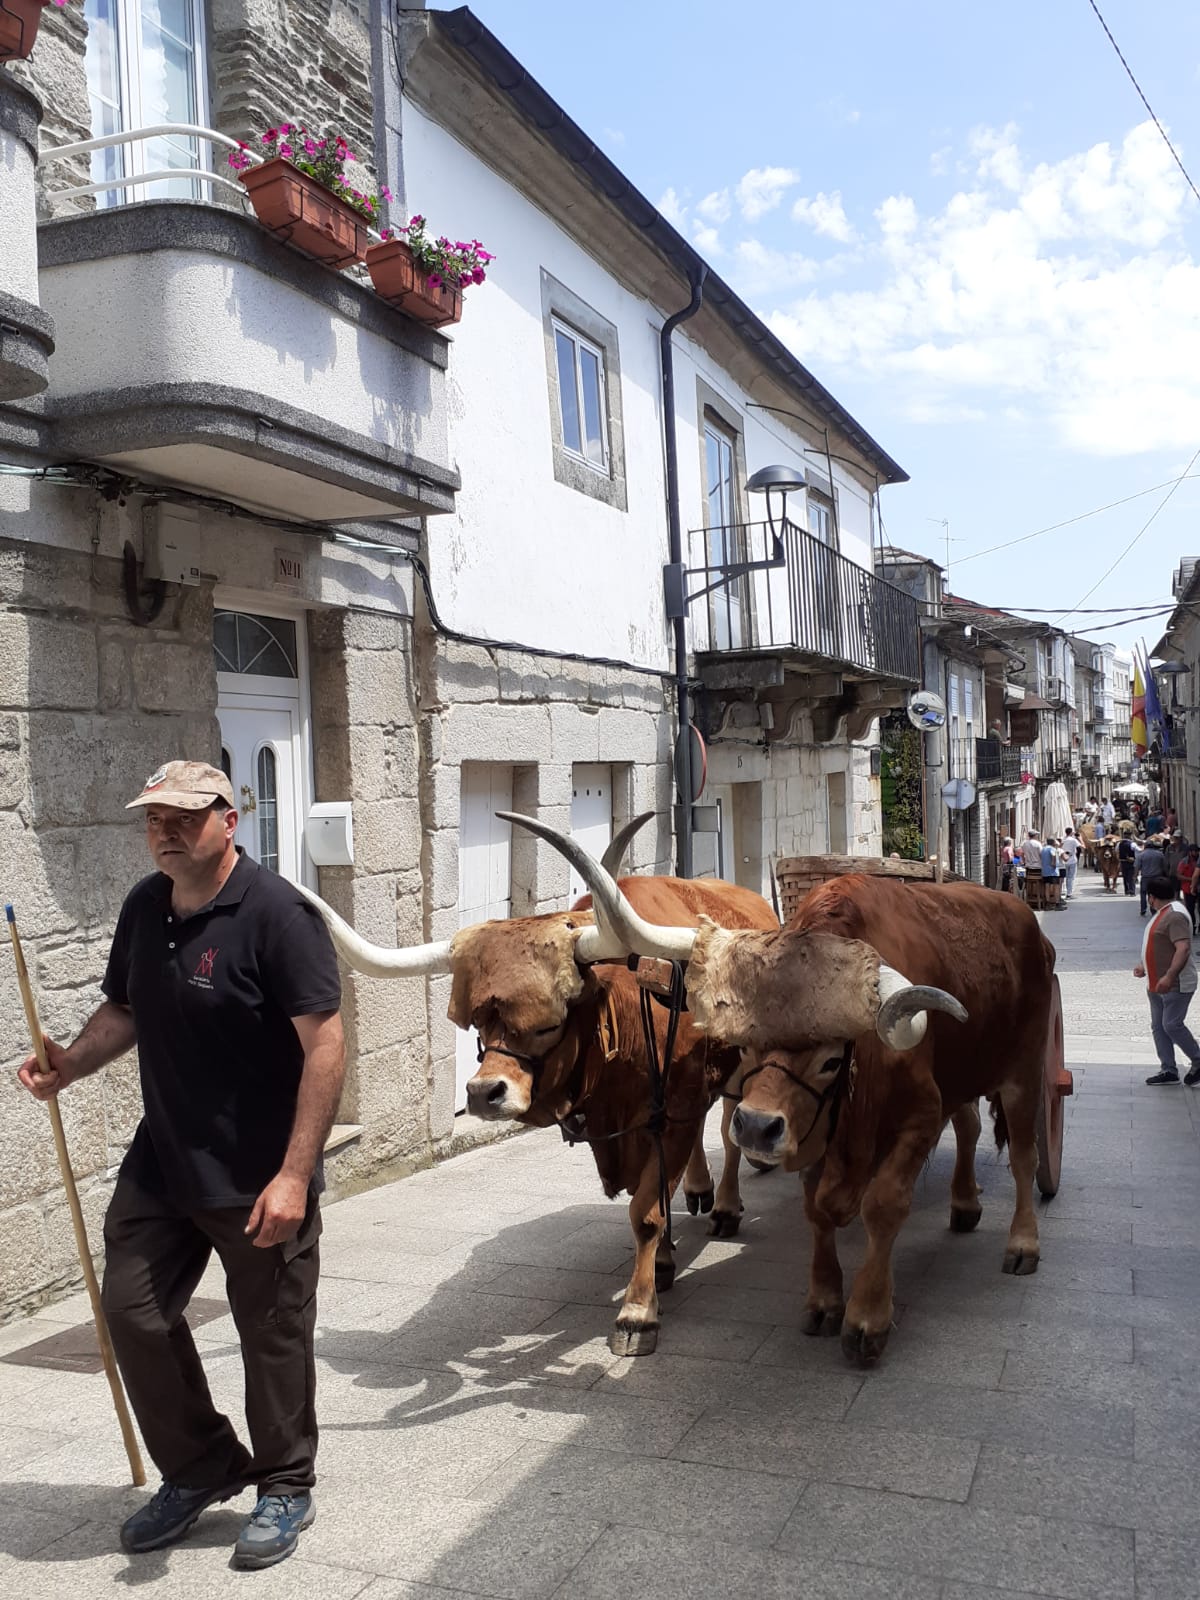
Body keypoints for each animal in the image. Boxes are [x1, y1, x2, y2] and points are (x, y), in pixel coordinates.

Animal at [298, 815, 777, 1356]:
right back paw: (697, 1193)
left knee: (732, 1128)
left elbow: (647, 1212)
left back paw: (726, 1206)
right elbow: (650, 1197)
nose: (483, 1094)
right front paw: (662, 1265)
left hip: (743, 1064)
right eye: (479, 1024)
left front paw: (638, 1312)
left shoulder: (674, 1107)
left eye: (549, 1024)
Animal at [526, 828, 1056, 1369]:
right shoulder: (813, 1131)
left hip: (1025, 1069)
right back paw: (965, 1205)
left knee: (1025, 1155)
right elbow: (816, 1208)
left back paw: (1023, 1245)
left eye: (829, 1060)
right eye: (746, 1045)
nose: (758, 1127)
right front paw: (823, 1300)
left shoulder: (920, 1118)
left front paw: (867, 1317)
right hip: (965, 1073)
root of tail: (1023, 918)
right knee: (970, 1125)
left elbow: (884, 1205)